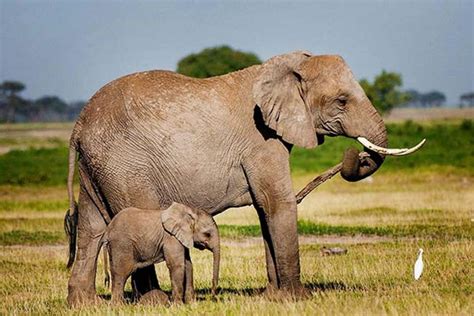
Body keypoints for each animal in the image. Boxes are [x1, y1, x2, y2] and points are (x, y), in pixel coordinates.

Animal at [64, 50, 422, 304]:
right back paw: (155, 302)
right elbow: (278, 203)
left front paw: (274, 297)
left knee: (91, 228)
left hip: (98, 166)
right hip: (125, 165)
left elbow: (266, 210)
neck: (287, 66)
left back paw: (85, 304)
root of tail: (79, 125)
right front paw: (299, 298)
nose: (358, 154)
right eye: (342, 101)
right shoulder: (261, 140)